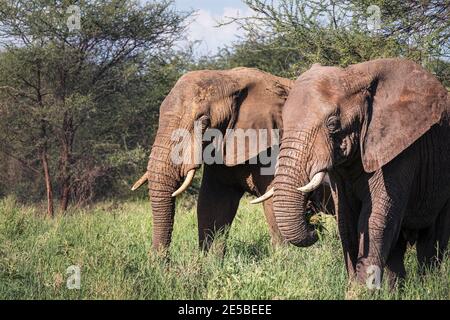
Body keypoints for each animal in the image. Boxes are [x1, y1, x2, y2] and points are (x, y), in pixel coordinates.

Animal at [256, 59, 450, 288]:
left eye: (332, 124)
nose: (314, 230)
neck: (355, 75)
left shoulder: (400, 150)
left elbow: (375, 219)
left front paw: (361, 290)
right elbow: (346, 219)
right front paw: (355, 287)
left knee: (433, 239)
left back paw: (429, 286)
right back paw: (395, 289)